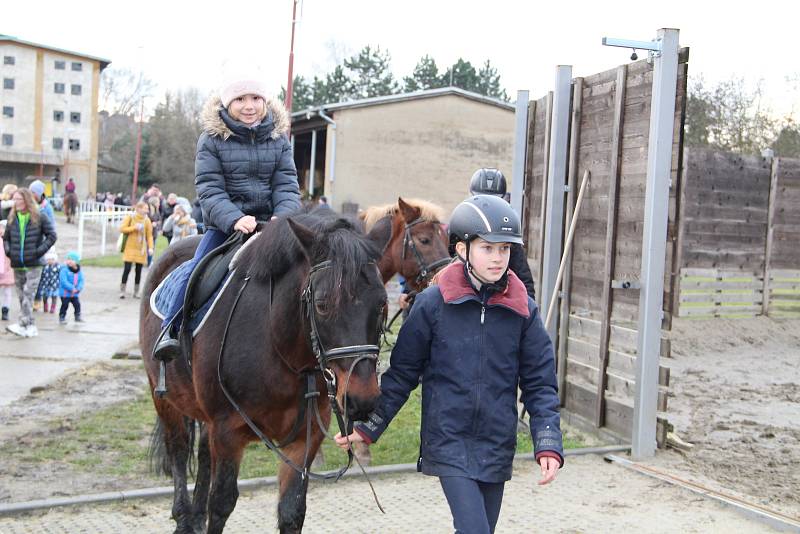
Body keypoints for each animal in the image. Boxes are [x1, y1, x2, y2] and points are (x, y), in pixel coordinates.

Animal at [142, 211, 390, 532]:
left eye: (382, 303)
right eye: (322, 304)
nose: (363, 399)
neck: (278, 347)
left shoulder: (305, 438)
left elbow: (292, 510)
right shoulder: (228, 432)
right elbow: (220, 504)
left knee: (203, 453)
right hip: (163, 397)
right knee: (179, 449)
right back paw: (184, 517)